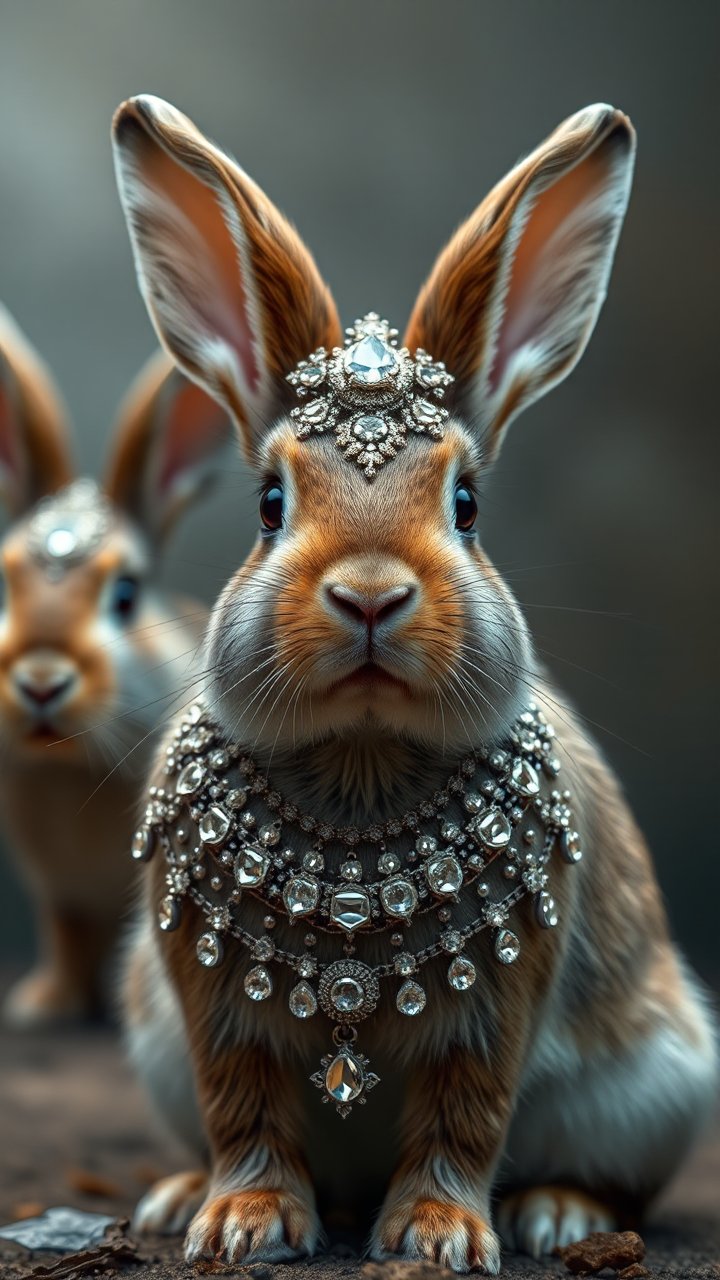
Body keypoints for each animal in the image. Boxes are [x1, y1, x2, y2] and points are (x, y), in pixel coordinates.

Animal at [0, 303, 231, 1026]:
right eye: (4, 586)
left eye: (125, 595)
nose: (40, 681)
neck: (71, 767)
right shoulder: (61, 895)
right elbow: (67, 939)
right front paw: (42, 1006)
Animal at [111, 95, 717, 1271]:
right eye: (268, 503)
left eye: (468, 503)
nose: (369, 595)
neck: (362, 755)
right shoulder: (208, 997)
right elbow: (242, 1106)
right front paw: (241, 1222)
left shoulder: (501, 992)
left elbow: (463, 1113)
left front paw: (438, 1236)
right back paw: (171, 1193)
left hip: (657, 1084)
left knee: (606, 1170)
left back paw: (558, 1213)